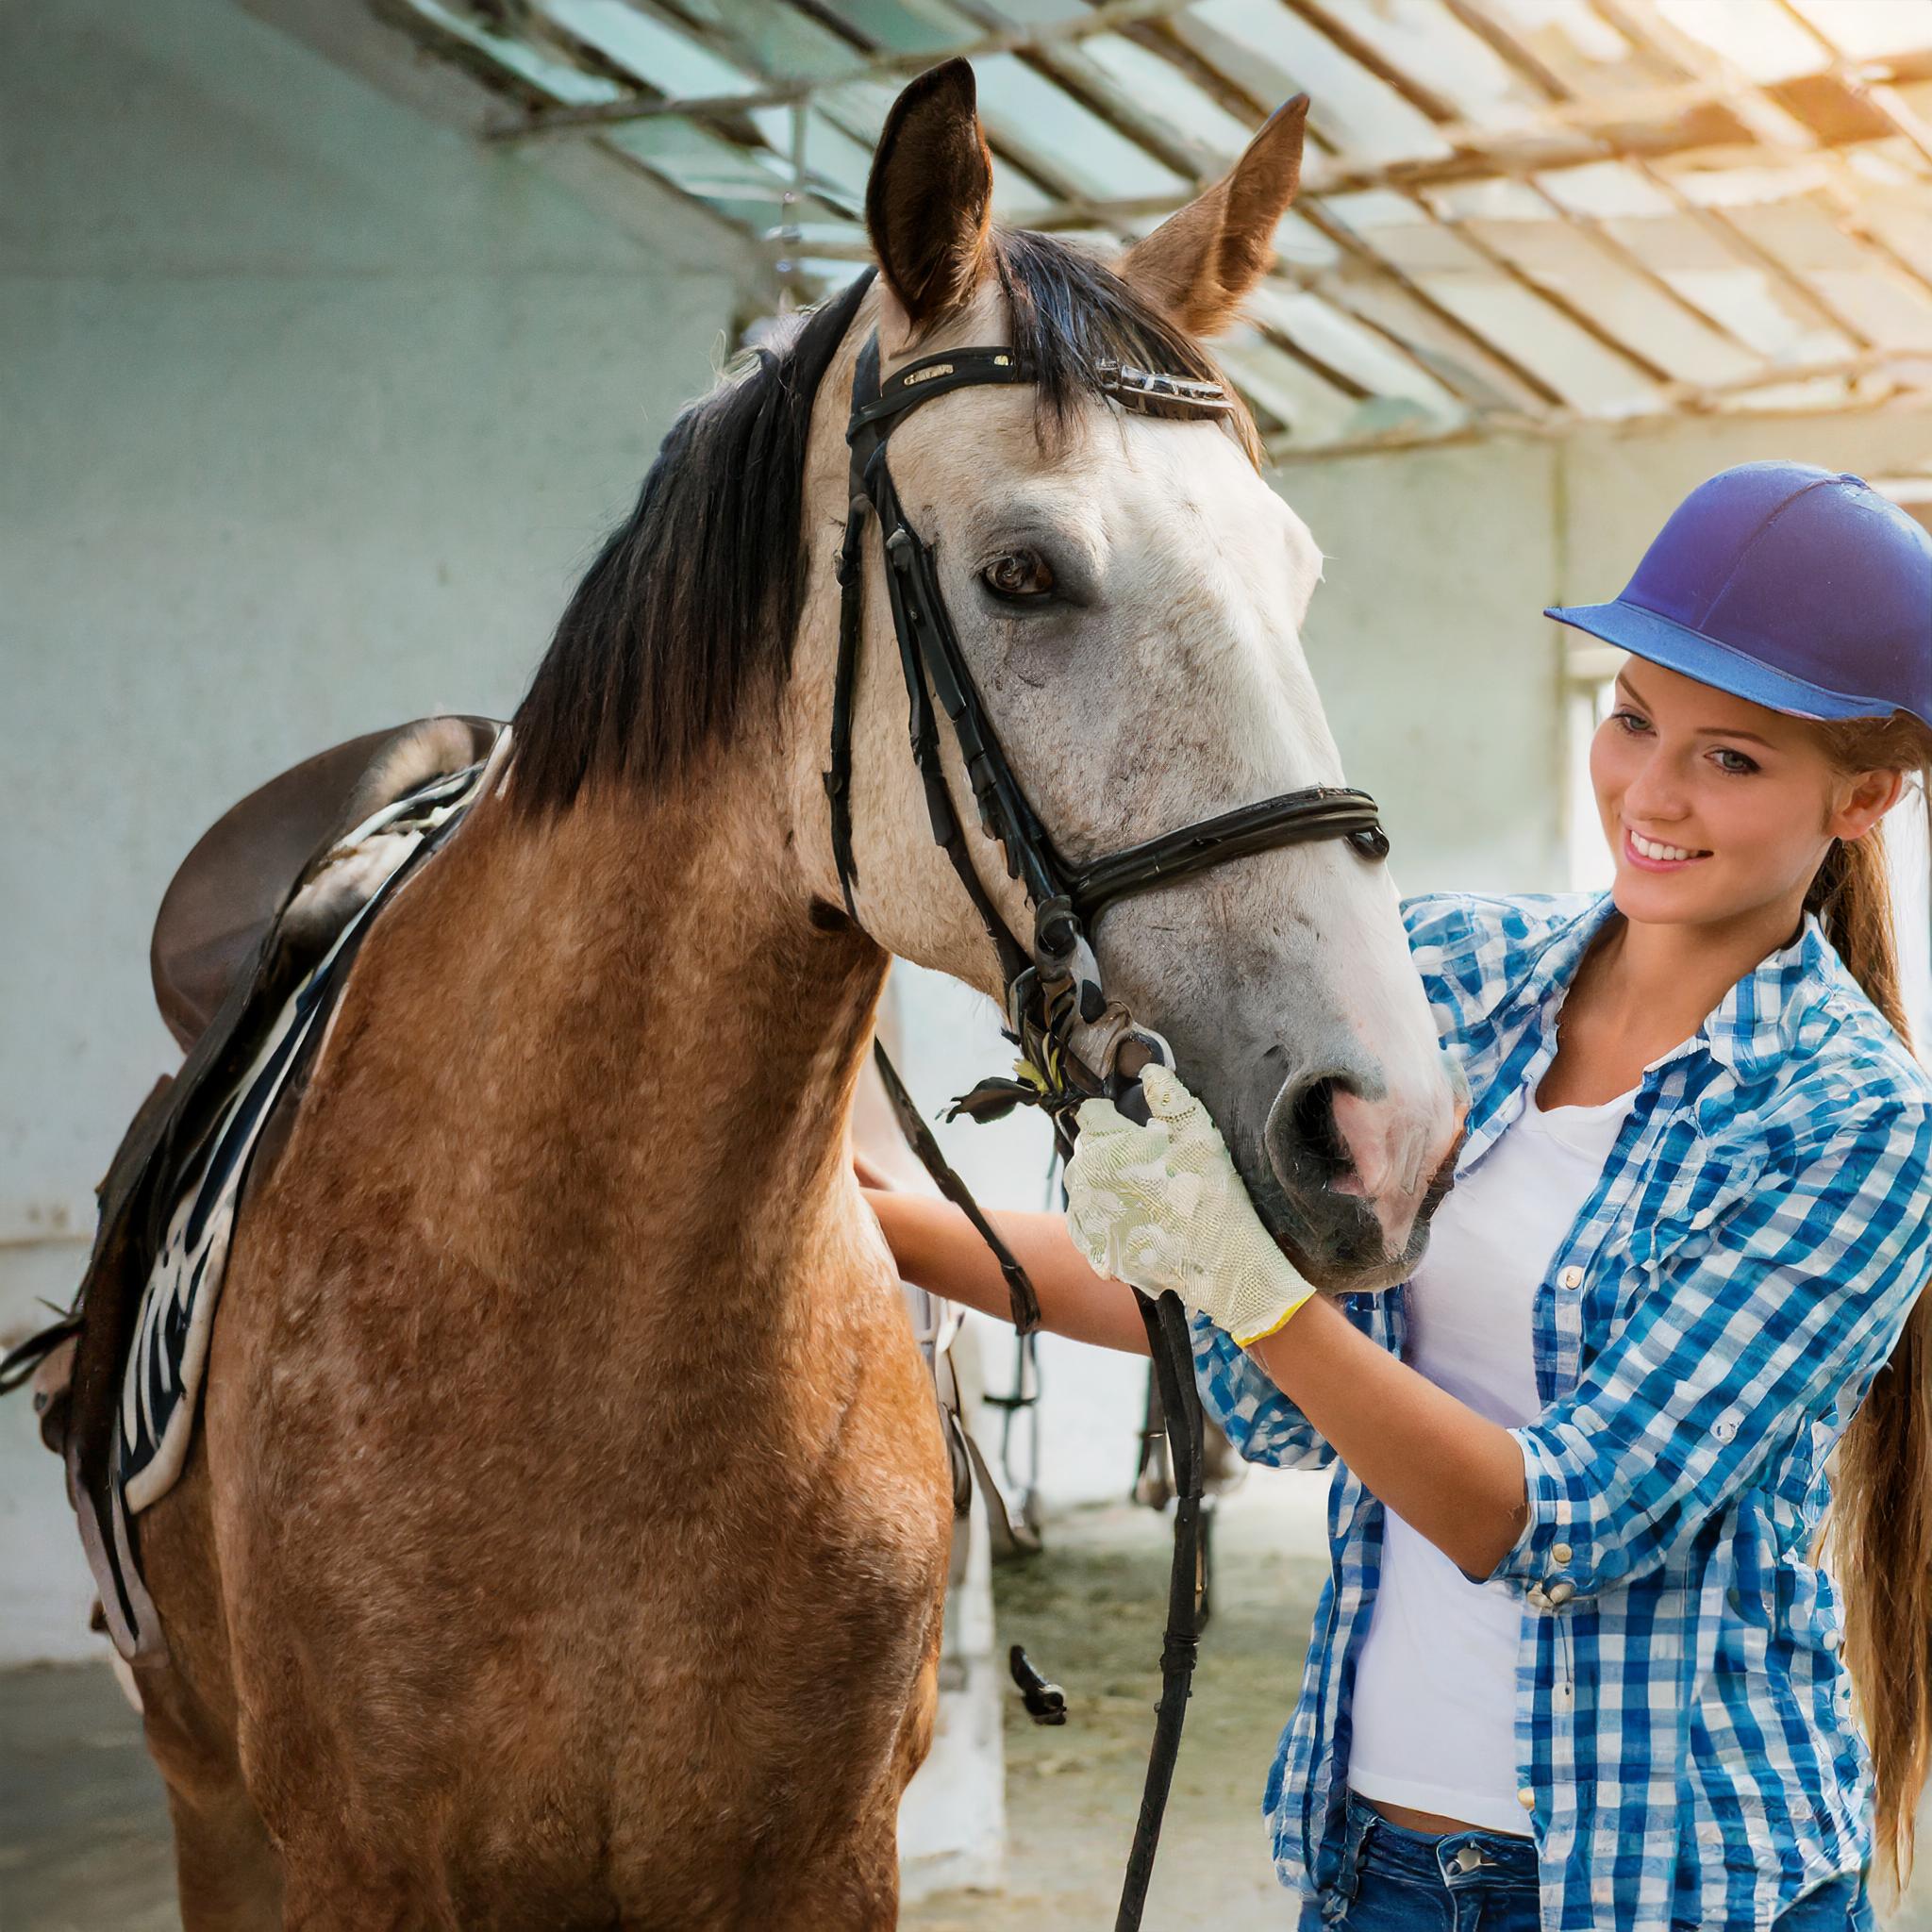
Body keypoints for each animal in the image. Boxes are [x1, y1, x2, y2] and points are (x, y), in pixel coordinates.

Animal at [128, 60, 1453, 1932]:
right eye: (1024, 572)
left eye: (1298, 577)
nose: (1387, 1133)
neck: (575, 1320)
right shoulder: (348, 1869)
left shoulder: (819, 1860)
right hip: (210, 1804)